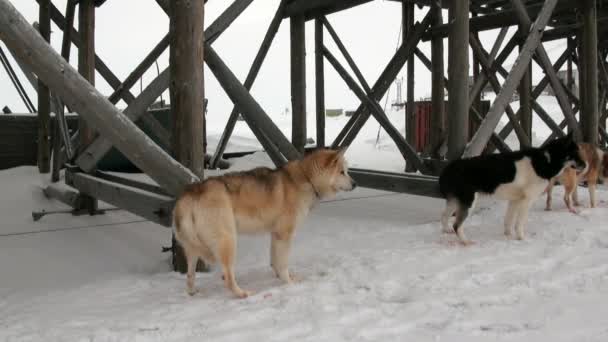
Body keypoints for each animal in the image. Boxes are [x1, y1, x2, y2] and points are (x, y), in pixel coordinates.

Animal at [172, 148, 356, 298]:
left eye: (347, 171)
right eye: (342, 172)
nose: (355, 184)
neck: (306, 177)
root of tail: (191, 192)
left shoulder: (275, 234)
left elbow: (274, 261)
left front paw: (280, 277)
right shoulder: (284, 235)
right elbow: (283, 264)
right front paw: (289, 283)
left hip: (192, 250)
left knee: (190, 276)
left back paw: (192, 292)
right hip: (228, 242)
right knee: (228, 278)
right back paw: (242, 294)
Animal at [440, 132, 588, 244]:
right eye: (575, 152)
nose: (586, 165)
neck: (547, 160)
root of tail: (451, 167)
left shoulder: (514, 201)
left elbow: (508, 221)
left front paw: (508, 235)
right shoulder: (527, 201)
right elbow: (519, 223)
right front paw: (521, 238)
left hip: (455, 201)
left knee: (444, 216)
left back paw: (447, 230)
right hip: (469, 202)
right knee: (457, 225)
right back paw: (466, 242)